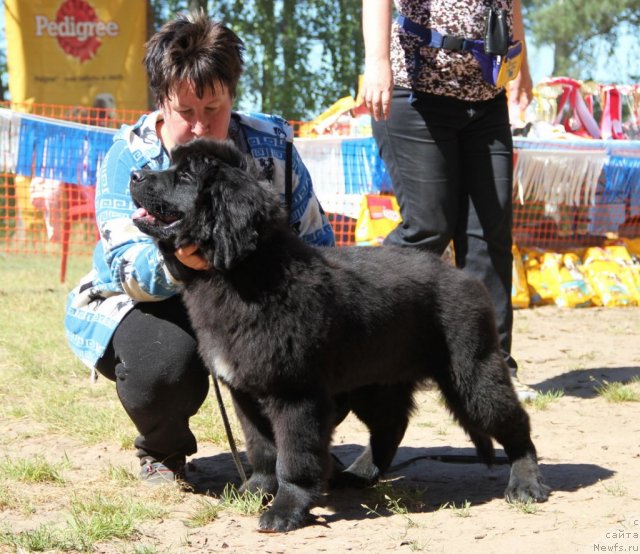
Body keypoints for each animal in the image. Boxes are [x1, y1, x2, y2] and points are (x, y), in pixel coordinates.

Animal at [130, 137, 552, 532]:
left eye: (185, 177)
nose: (135, 175)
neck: (246, 274)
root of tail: (464, 277)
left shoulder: (294, 393)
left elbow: (293, 458)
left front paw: (285, 511)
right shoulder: (245, 393)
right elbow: (261, 450)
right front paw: (252, 492)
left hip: (472, 373)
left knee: (516, 424)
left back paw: (525, 483)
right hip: (374, 381)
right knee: (390, 427)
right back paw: (360, 474)